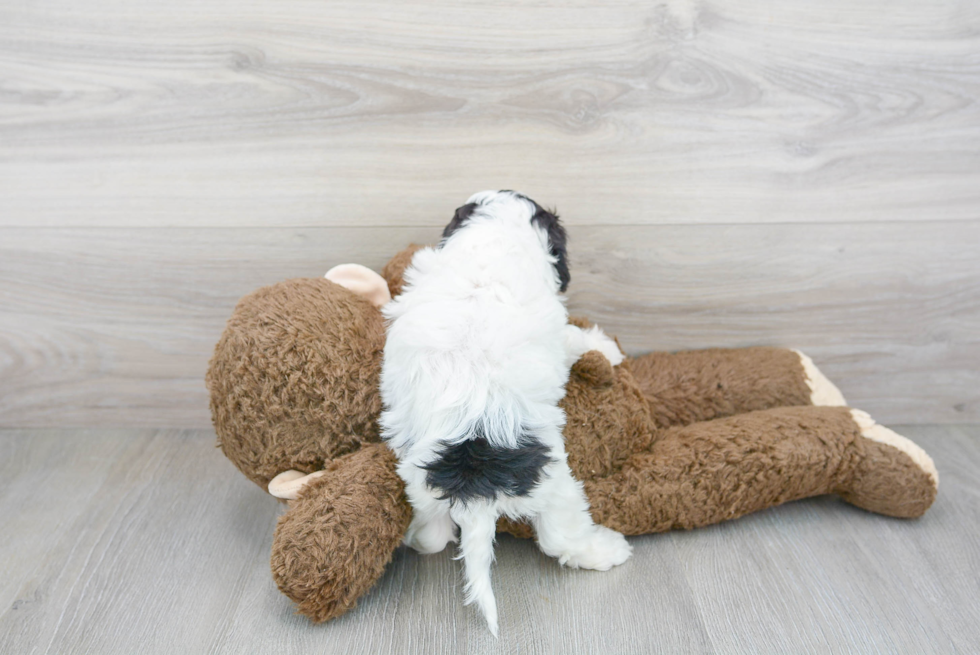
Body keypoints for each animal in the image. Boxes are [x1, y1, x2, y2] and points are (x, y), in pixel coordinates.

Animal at [378, 190, 632, 636]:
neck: (491, 238)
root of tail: (474, 483)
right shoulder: (558, 328)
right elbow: (575, 338)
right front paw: (607, 349)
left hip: (419, 481)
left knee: (433, 536)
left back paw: (418, 534)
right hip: (555, 485)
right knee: (559, 536)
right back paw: (606, 550)